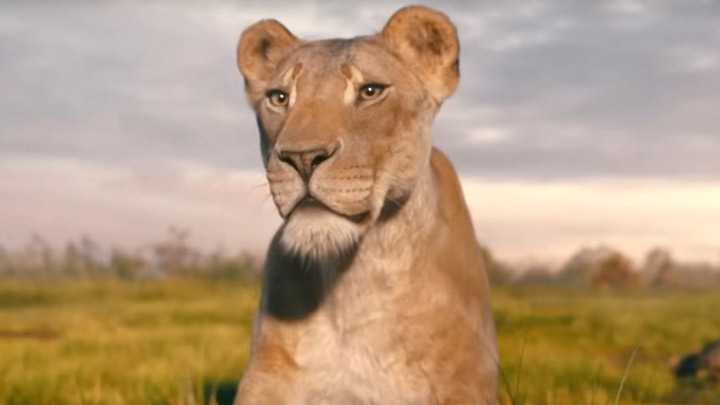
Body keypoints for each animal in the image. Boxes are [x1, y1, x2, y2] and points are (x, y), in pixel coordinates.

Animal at [234, 6, 498, 404]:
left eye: (369, 91)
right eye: (279, 97)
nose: (302, 158)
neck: (353, 282)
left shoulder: (467, 385)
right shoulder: (265, 380)